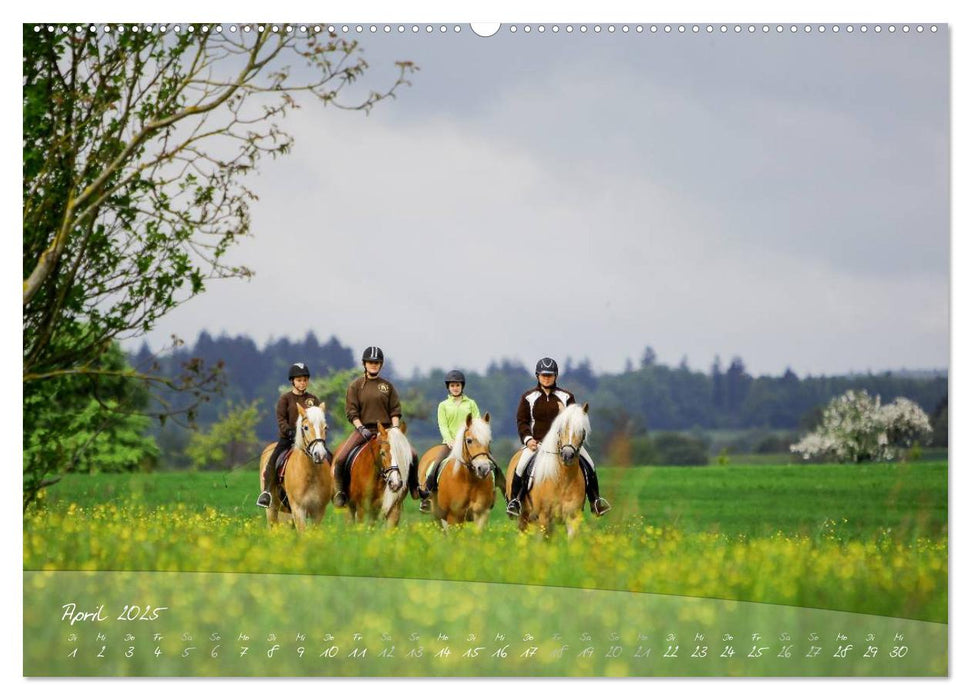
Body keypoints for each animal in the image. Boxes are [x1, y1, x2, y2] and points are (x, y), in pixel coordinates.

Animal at [258, 404, 334, 532]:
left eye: (325, 427)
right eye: (306, 427)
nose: (319, 454)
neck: (310, 474)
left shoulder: (318, 511)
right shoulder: (298, 509)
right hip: (272, 510)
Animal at [508, 402, 592, 540]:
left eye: (582, 431)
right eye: (560, 430)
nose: (567, 455)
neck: (563, 479)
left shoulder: (572, 517)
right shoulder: (544, 517)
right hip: (523, 517)